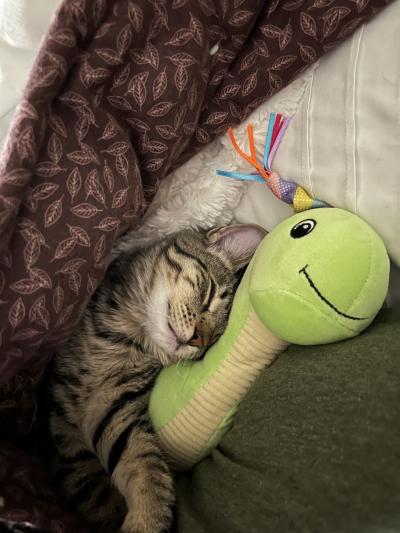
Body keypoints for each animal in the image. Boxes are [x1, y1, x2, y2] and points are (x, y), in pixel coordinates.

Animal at [43, 222, 266, 528]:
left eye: (213, 342)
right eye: (209, 293)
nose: (198, 339)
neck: (124, 338)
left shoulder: (116, 412)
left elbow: (148, 467)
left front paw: (148, 519)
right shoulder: (65, 423)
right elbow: (95, 487)